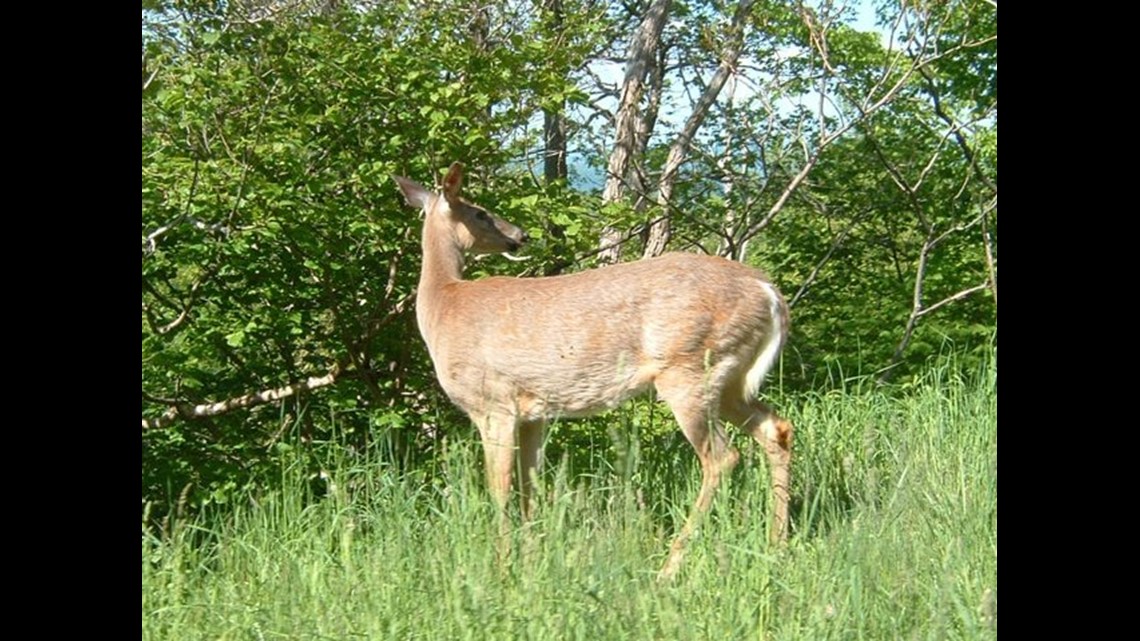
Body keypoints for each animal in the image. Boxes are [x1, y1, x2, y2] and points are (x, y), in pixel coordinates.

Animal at [393, 162, 793, 580]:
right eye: (481, 212)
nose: (519, 236)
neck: (443, 305)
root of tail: (768, 291)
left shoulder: (494, 403)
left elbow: (500, 489)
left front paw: (501, 569)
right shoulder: (532, 412)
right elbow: (527, 487)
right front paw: (529, 562)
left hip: (689, 367)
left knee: (722, 457)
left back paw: (668, 569)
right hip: (730, 378)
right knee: (776, 429)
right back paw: (778, 545)